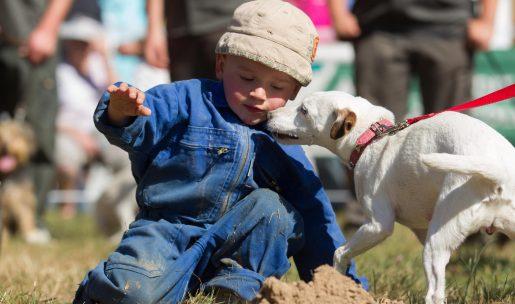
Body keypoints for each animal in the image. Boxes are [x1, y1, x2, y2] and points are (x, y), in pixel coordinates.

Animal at [0, 116, 50, 245]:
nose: (5, 145)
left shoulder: (22, 197)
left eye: (15, 134)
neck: (8, 175)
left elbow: (26, 215)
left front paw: (30, 235)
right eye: (1, 134)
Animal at [266, 91, 515, 302]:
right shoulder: (421, 229)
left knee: (434, 294)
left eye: (304, 110)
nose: (268, 114)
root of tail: (499, 172)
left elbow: (339, 253)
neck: (370, 138)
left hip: (435, 243)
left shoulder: (378, 225)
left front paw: (332, 286)